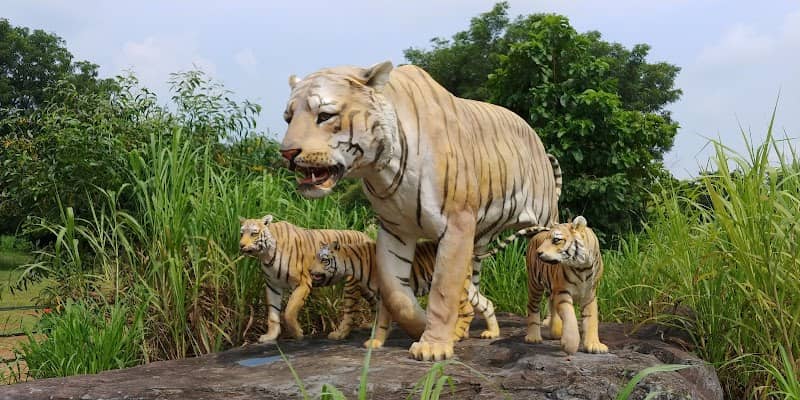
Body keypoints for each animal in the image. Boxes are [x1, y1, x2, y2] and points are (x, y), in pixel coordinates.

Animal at [238, 215, 371, 342]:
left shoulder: (303, 283)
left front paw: (297, 333)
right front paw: (271, 336)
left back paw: (339, 334)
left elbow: (289, 311)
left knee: (350, 311)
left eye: (253, 233)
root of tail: (368, 237)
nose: (241, 245)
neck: (266, 255)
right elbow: (273, 313)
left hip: (351, 285)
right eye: (242, 233)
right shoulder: (273, 285)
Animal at [310, 240, 500, 348]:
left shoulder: (384, 296)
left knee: (467, 309)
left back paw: (454, 336)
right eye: (315, 257)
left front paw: (375, 342)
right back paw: (492, 333)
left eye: (323, 259)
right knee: (486, 303)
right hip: (467, 286)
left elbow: (382, 321)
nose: (310, 271)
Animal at [524, 216, 608, 355]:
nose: (538, 252)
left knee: (551, 303)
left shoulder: (589, 295)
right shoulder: (562, 291)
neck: (582, 268)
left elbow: (591, 319)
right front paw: (569, 344)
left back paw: (556, 331)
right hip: (535, 283)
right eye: (547, 239)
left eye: (556, 240)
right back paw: (533, 337)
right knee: (532, 307)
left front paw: (594, 345)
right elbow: (570, 316)